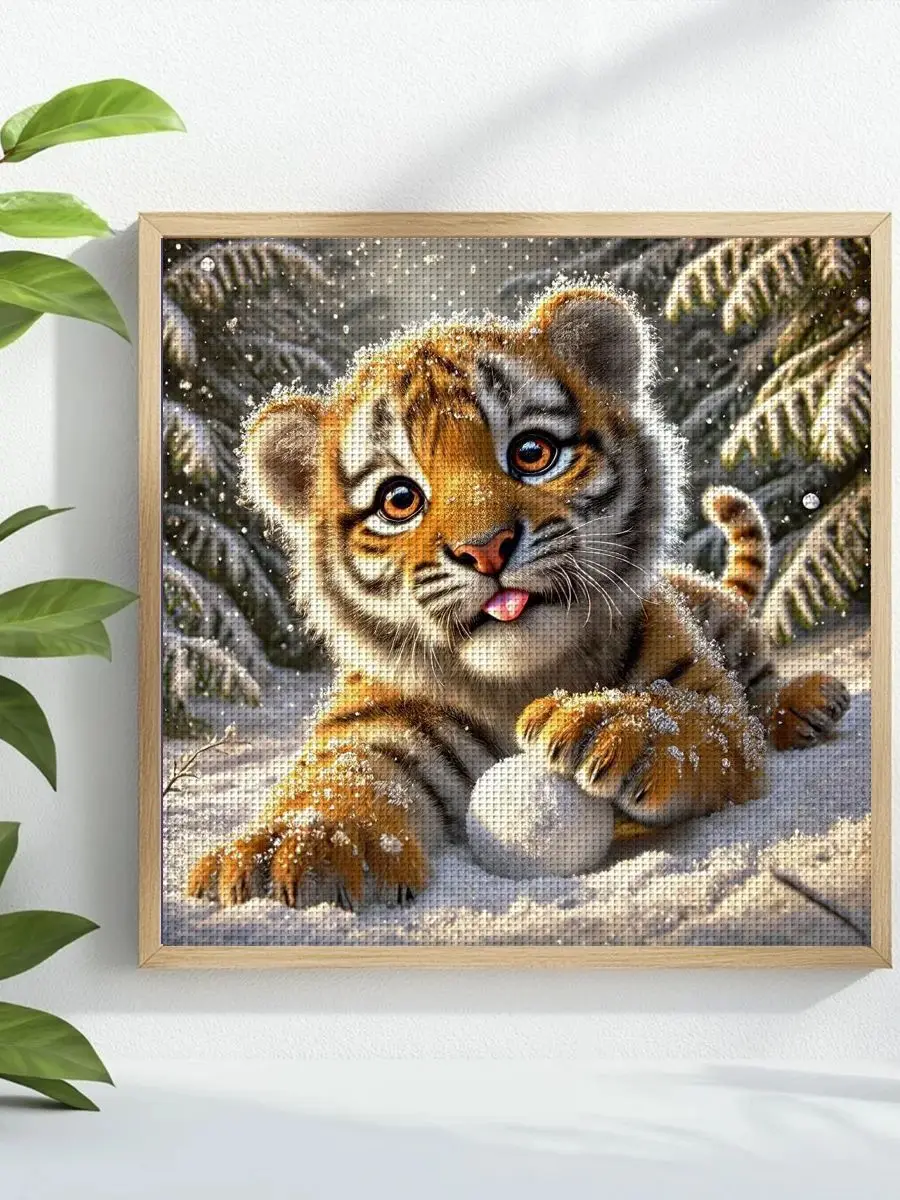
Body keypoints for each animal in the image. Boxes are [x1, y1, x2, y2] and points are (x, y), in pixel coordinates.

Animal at [187, 283, 851, 909]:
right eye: (399, 499)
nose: (486, 549)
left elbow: (696, 715)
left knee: (759, 680)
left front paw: (607, 725)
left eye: (532, 453)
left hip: (723, 622)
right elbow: (341, 776)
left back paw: (808, 704)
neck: (525, 675)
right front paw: (299, 848)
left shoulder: (705, 693)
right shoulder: (383, 717)